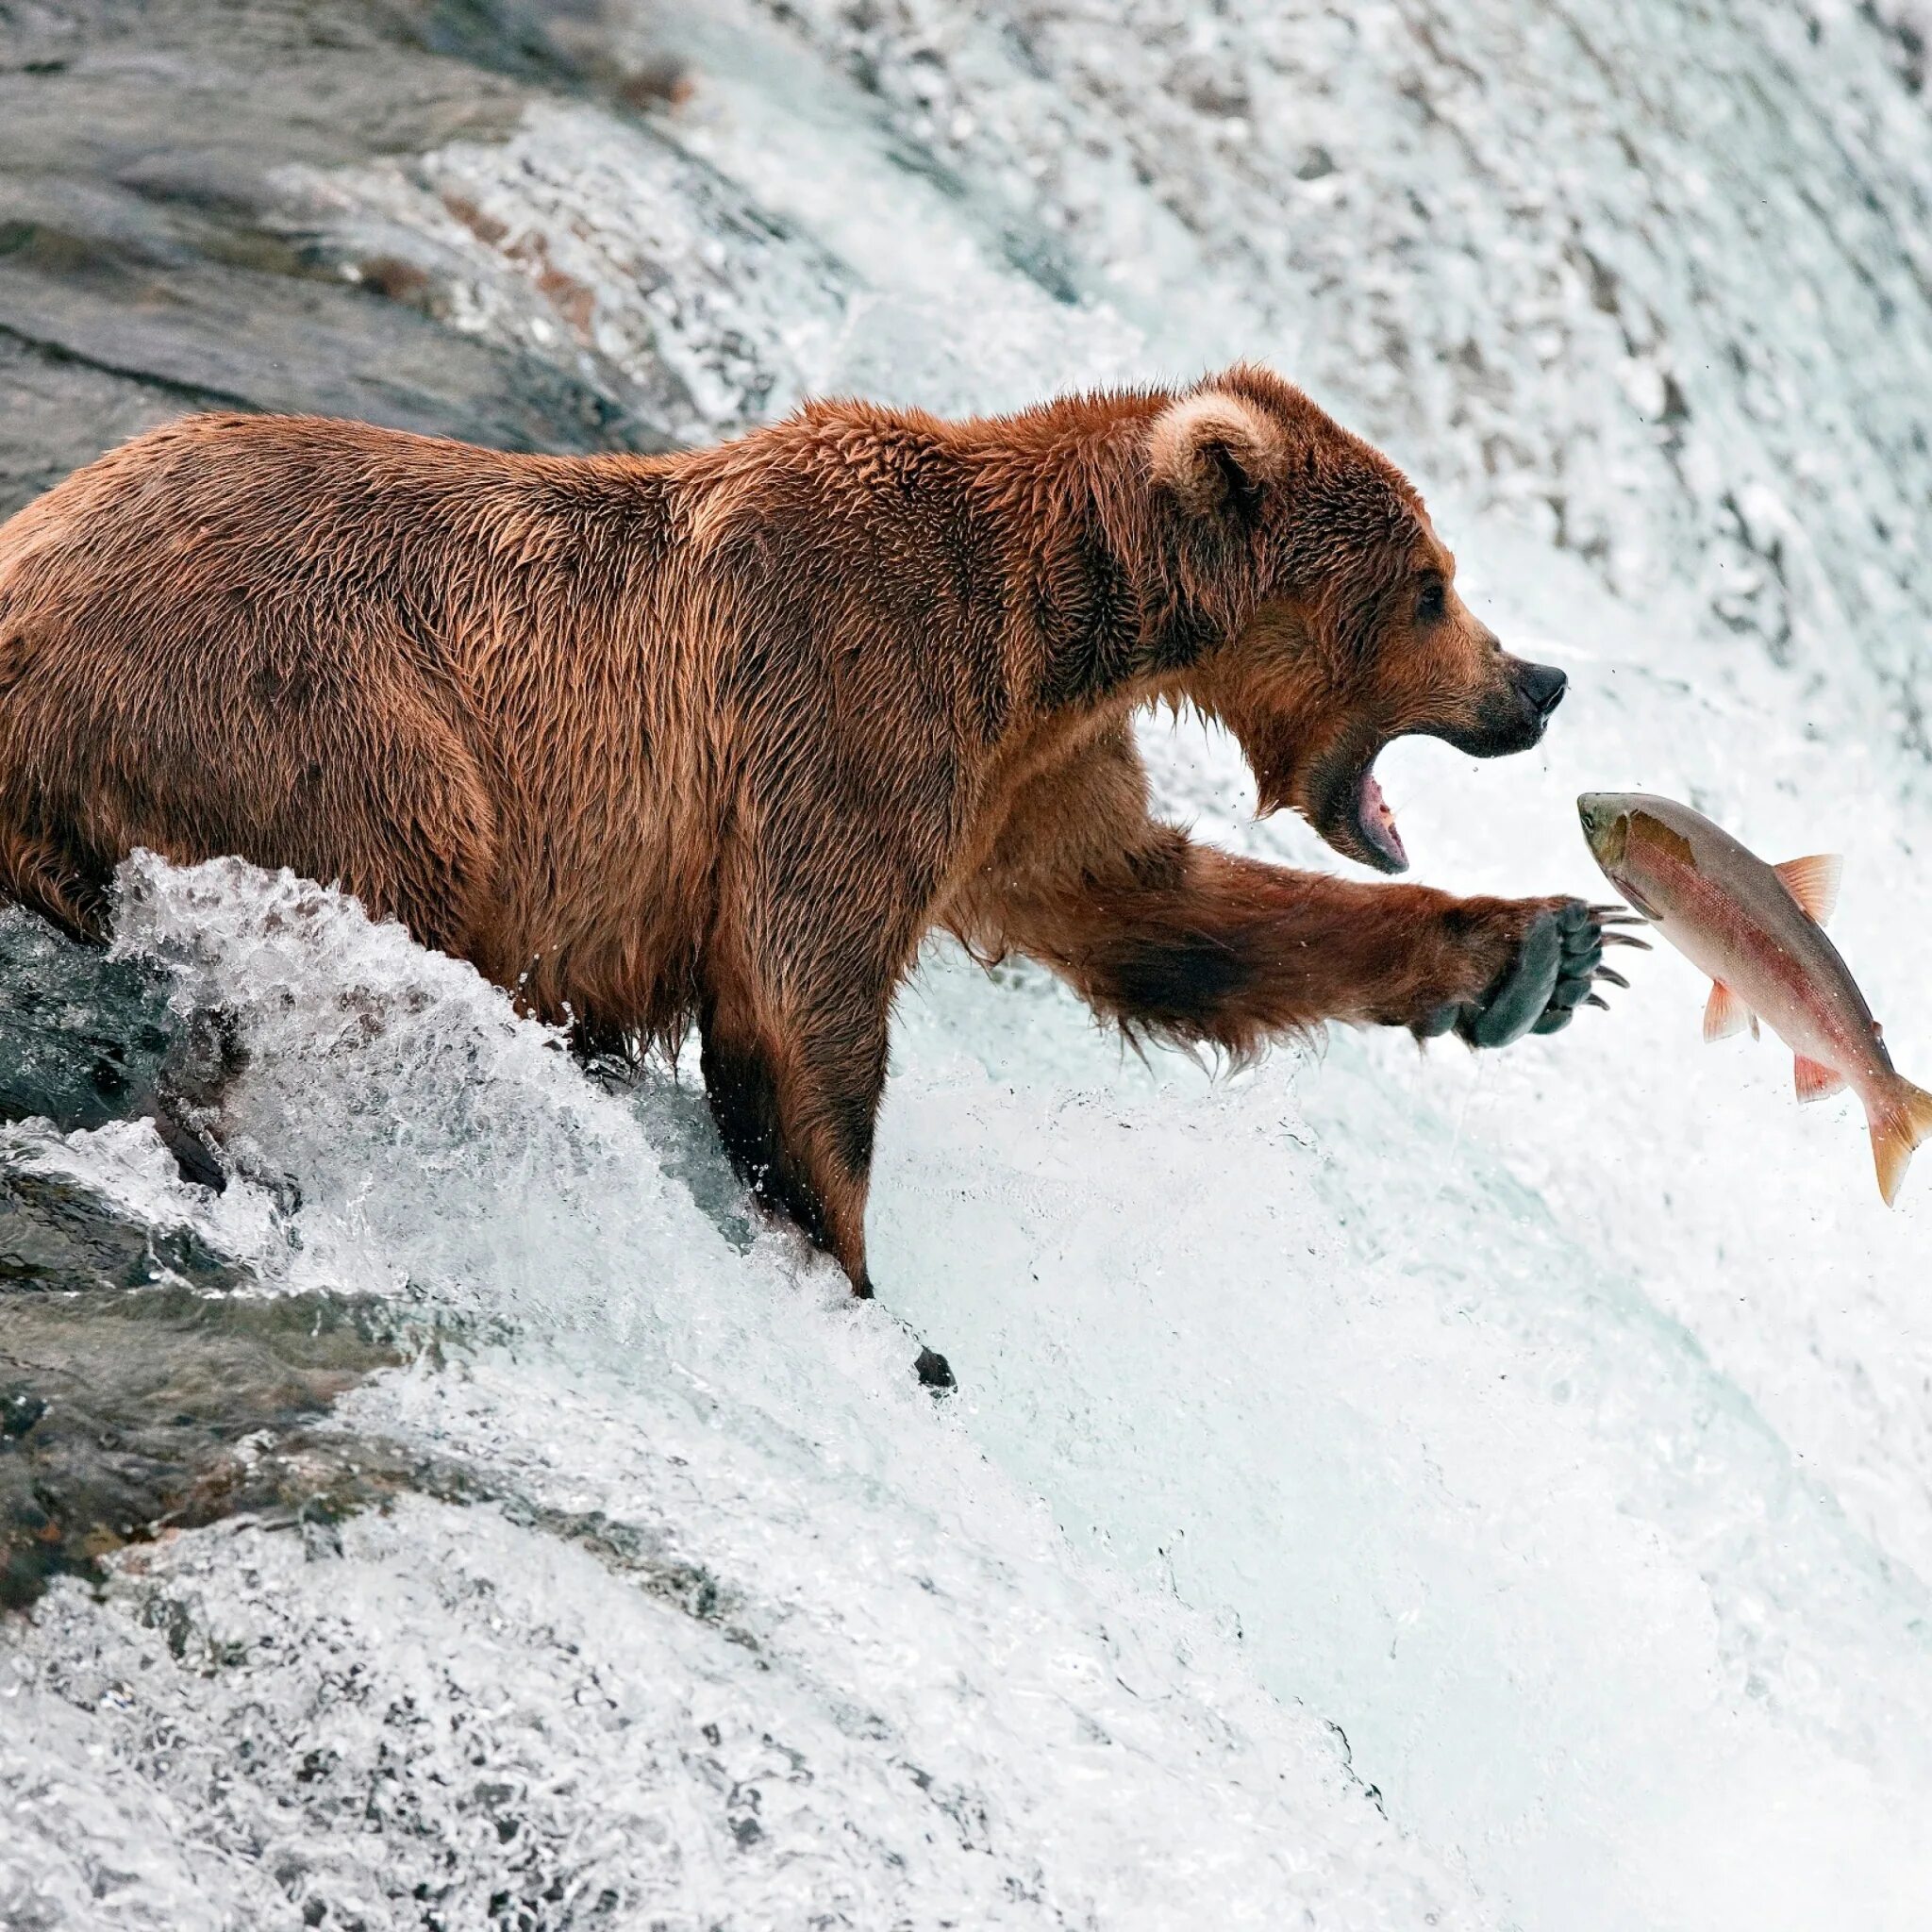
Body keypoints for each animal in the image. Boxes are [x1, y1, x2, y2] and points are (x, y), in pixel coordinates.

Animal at [0, 363, 1630, 1359]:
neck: (1060, 631)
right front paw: (855, 1287)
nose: (1541, 683)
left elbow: (1158, 911)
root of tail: (32, 573)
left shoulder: (1025, 781)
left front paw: (1541, 953)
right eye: (1430, 586)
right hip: (310, 708)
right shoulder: (847, 701)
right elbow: (802, 1007)